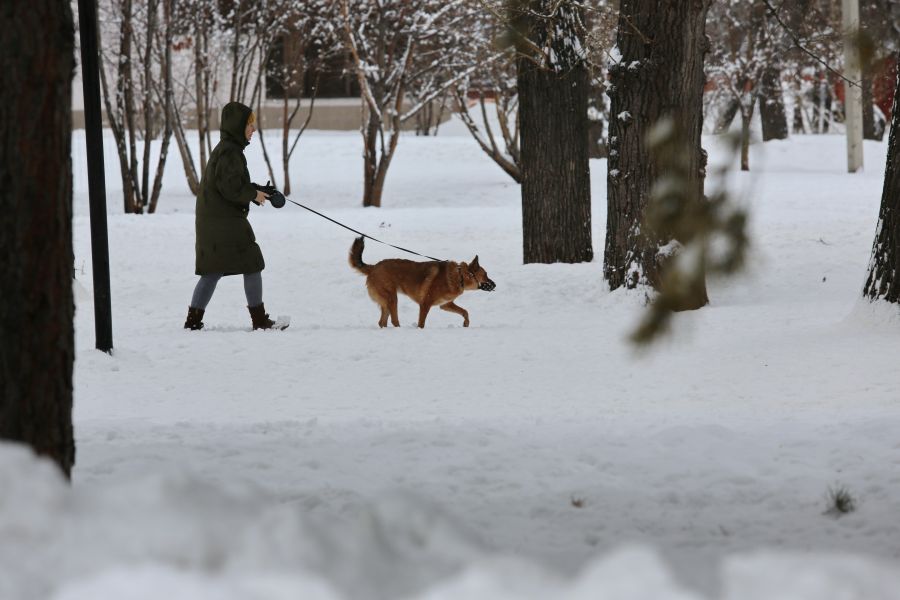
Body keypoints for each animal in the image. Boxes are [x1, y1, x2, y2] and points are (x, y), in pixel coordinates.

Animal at [349, 236, 495, 328]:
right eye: (486, 275)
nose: (495, 284)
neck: (460, 276)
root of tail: (374, 267)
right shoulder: (425, 304)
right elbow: (421, 323)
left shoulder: (446, 304)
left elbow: (465, 312)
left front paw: (466, 323)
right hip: (392, 299)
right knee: (394, 320)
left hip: (387, 301)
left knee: (382, 322)